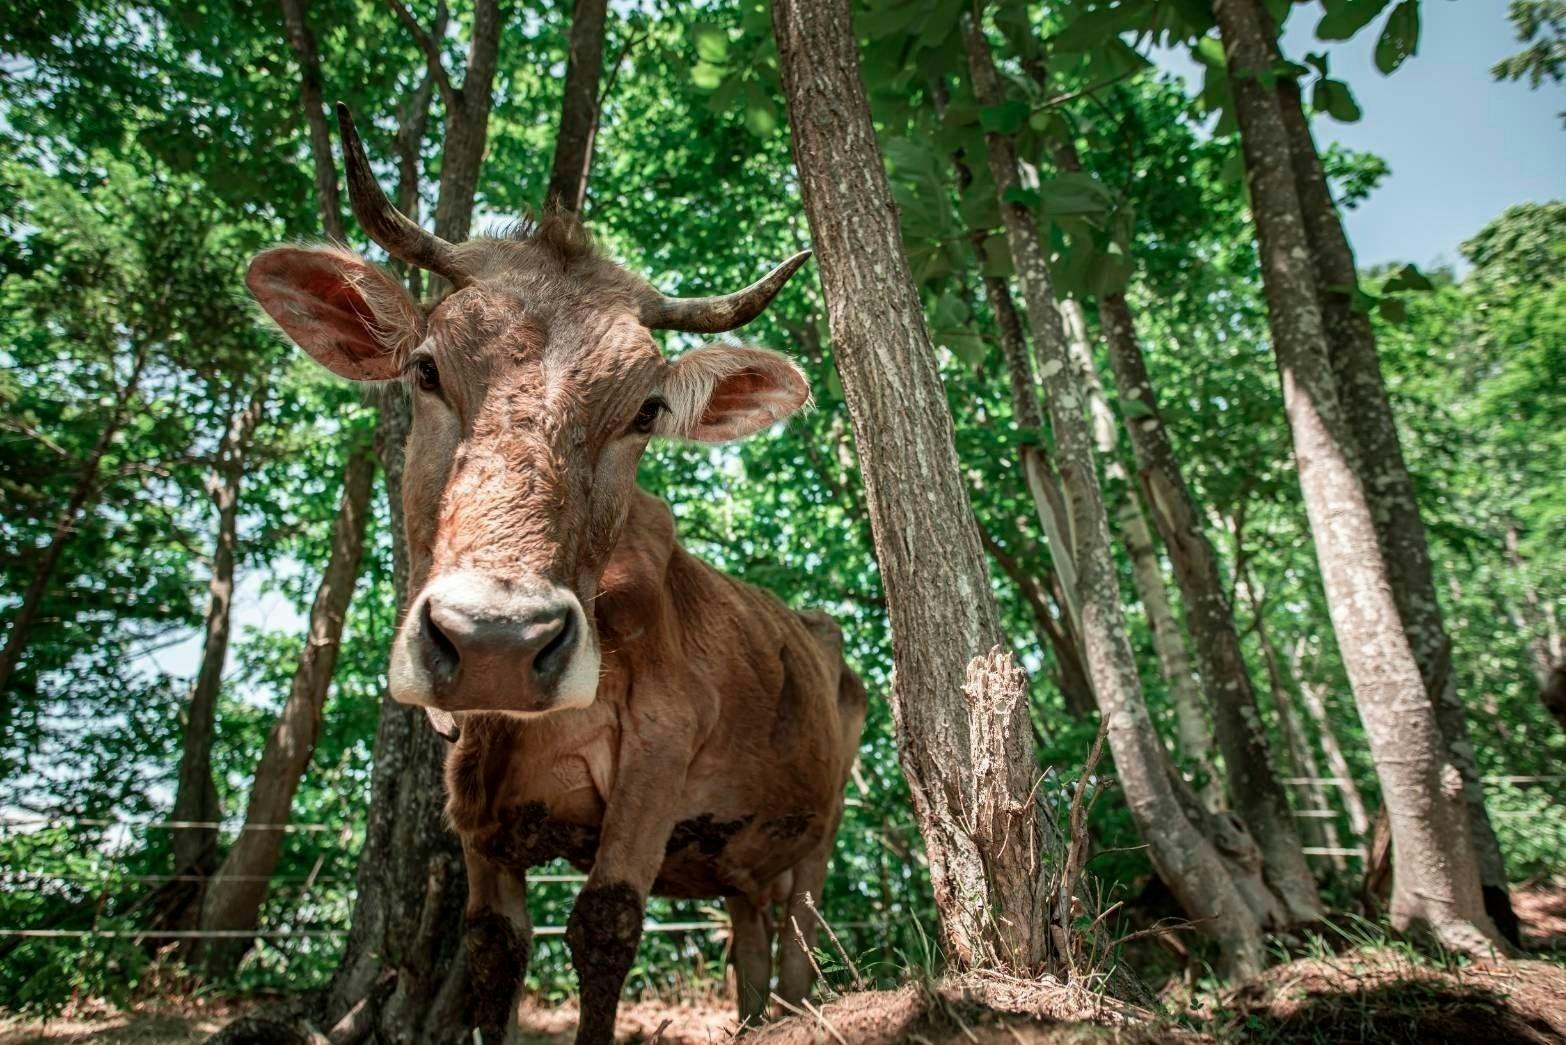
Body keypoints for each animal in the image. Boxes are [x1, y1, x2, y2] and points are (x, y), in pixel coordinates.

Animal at [250, 108, 876, 1045]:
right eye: (425, 368)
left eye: (646, 410)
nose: (497, 640)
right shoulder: (471, 797)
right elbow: (492, 946)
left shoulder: (659, 746)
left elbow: (604, 924)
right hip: (742, 856)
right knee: (752, 940)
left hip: (819, 830)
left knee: (800, 936)